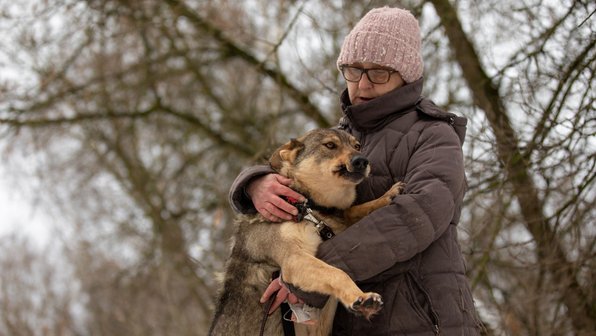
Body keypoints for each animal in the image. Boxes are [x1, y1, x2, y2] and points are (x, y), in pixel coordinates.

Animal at [210, 127, 406, 334]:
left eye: (357, 146)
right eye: (330, 145)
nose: (362, 160)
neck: (308, 207)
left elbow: (353, 211)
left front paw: (386, 196)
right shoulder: (294, 259)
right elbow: (338, 273)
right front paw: (360, 297)